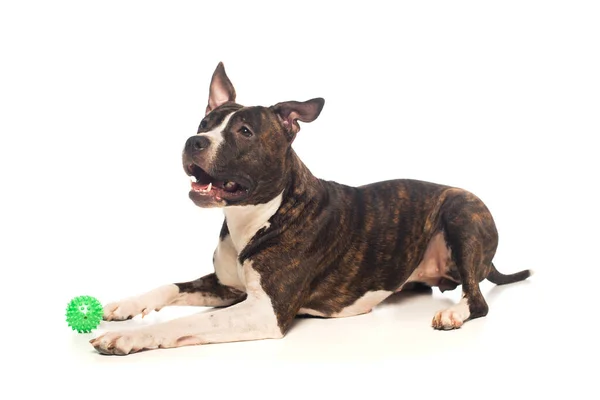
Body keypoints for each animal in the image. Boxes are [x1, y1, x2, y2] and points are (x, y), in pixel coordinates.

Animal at [89, 61, 528, 354]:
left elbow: (189, 321)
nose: (193, 141)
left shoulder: (264, 311)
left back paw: (454, 314)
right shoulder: (226, 287)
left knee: (478, 298)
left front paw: (128, 336)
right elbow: (170, 286)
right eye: (204, 122)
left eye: (244, 132)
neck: (256, 217)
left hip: (462, 213)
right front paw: (124, 307)